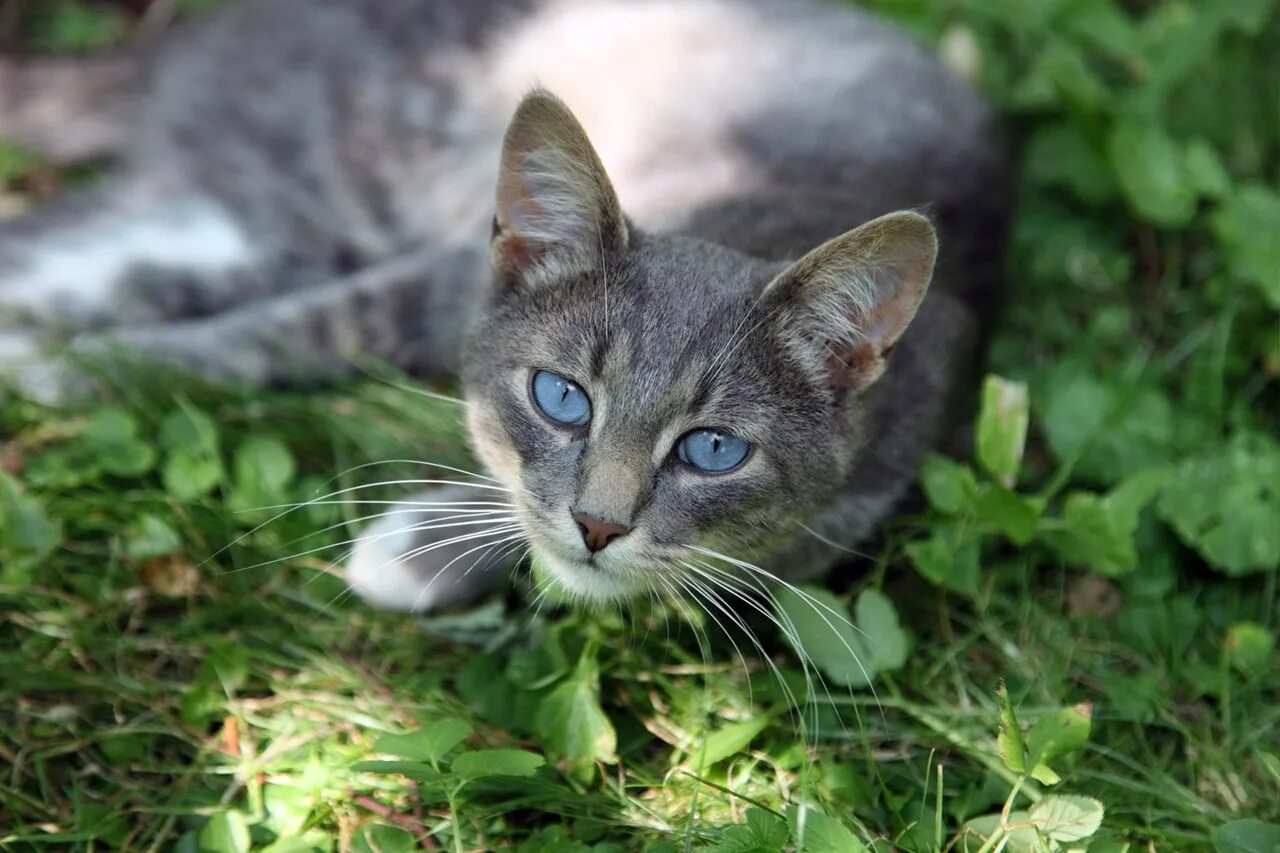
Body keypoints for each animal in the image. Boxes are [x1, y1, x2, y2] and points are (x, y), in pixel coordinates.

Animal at [0, 0, 1003, 612]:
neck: (745, 204)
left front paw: (424, 548)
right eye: (562, 398)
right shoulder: (438, 272)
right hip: (331, 176)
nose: (601, 524)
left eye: (713, 450)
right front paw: (82, 366)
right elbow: (305, 326)